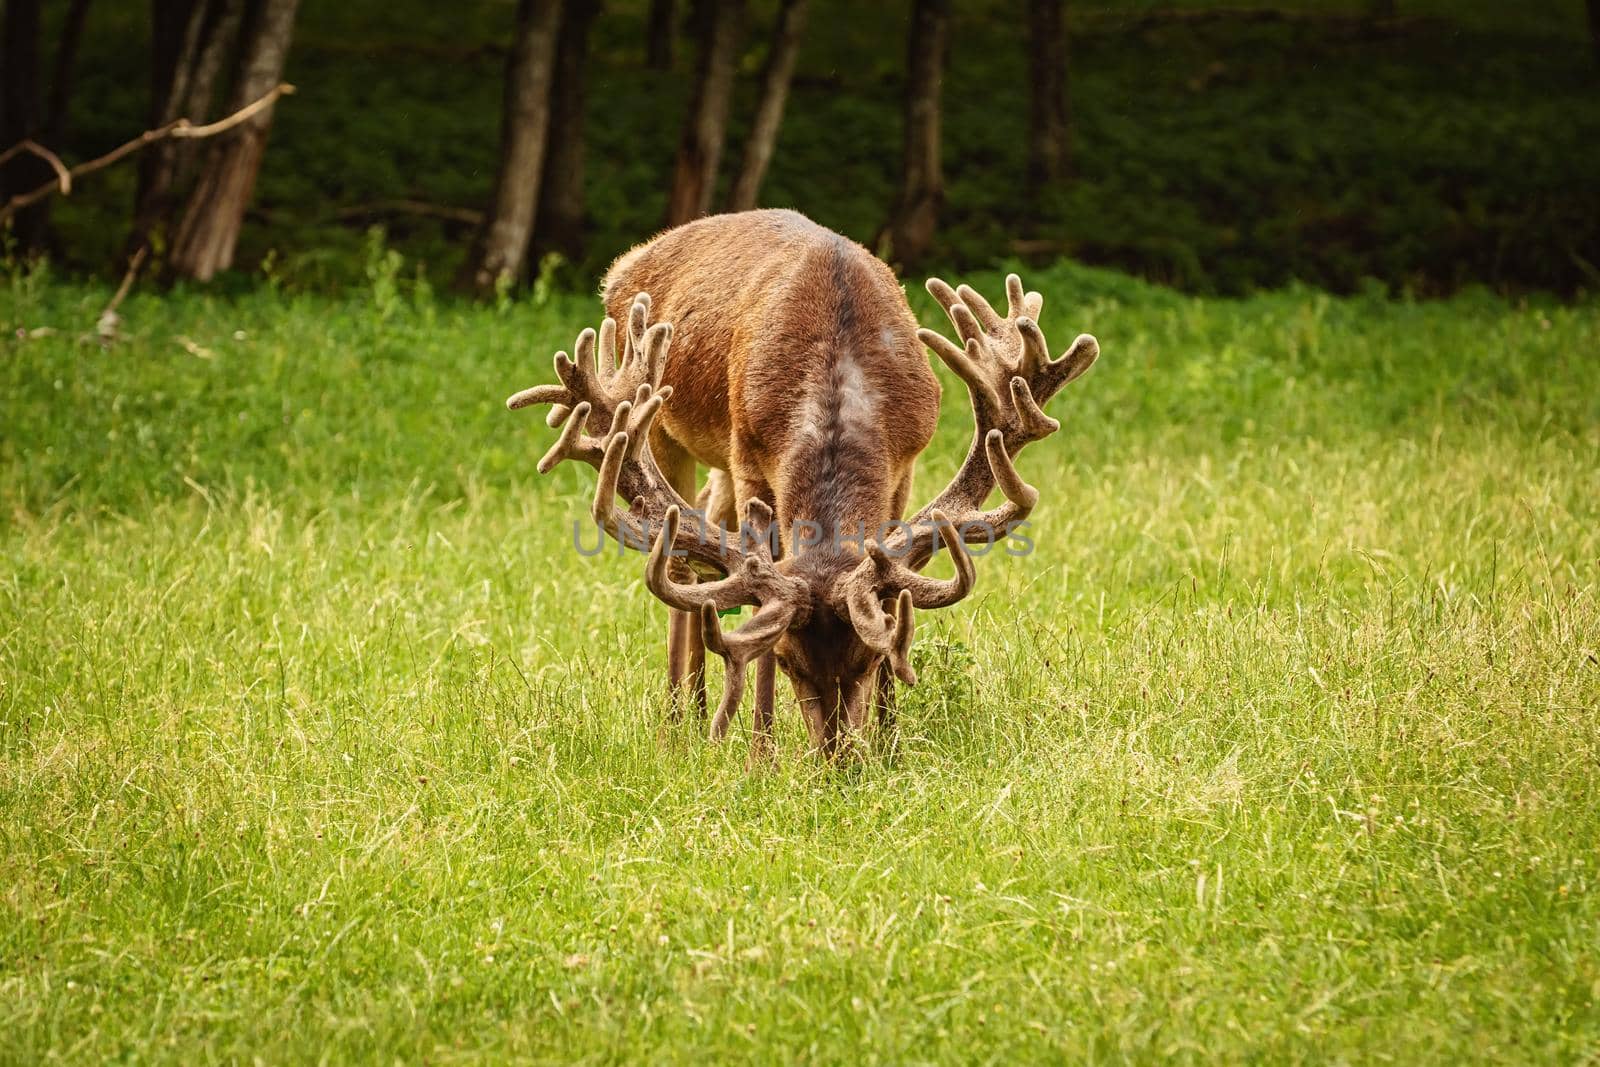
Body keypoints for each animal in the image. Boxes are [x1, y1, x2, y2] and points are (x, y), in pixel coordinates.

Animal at [508, 206, 1100, 758]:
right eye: (788, 660)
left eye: (871, 658)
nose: (838, 760)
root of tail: (623, 266)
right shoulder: (749, 456)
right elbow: (756, 604)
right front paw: (761, 756)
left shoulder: (905, 465)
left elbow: (894, 591)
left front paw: (890, 744)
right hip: (660, 426)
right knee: (678, 559)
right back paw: (681, 723)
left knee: (704, 519)